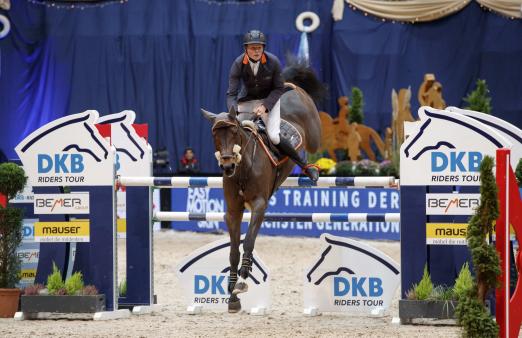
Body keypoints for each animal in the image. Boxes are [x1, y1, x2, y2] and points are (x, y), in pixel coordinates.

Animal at [200, 62, 324, 312]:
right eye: (214, 134)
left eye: (234, 132)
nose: (227, 165)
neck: (243, 168)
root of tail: (290, 85)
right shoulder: (233, 211)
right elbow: (233, 251)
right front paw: (232, 295)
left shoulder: (259, 205)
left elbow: (248, 241)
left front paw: (242, 281)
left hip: (313, 131)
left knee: (316, 144)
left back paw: (312, 169)